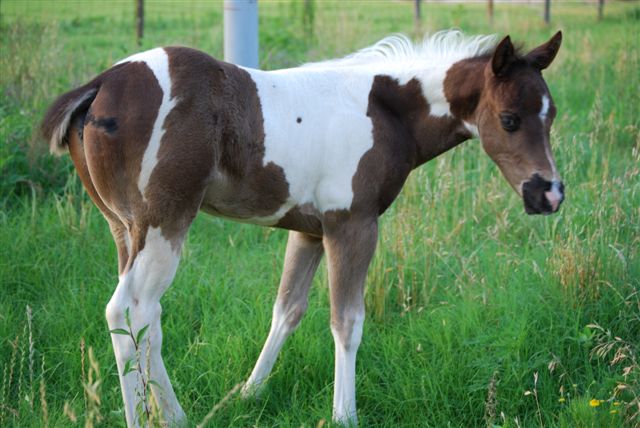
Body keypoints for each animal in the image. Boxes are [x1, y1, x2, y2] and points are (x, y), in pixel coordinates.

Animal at [41, 30, 564, 426]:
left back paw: (177, 415)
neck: (384, 109)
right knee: (130, 310)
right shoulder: (352, 225)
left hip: (125, 229)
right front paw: (344, 415)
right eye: (509, 119)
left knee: (146, 318)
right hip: (165, 222)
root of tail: (101, 84)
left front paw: (248, 394)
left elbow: (286, 310)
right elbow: (347, 321)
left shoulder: (309, 231)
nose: (550, 194)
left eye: (551, 115)